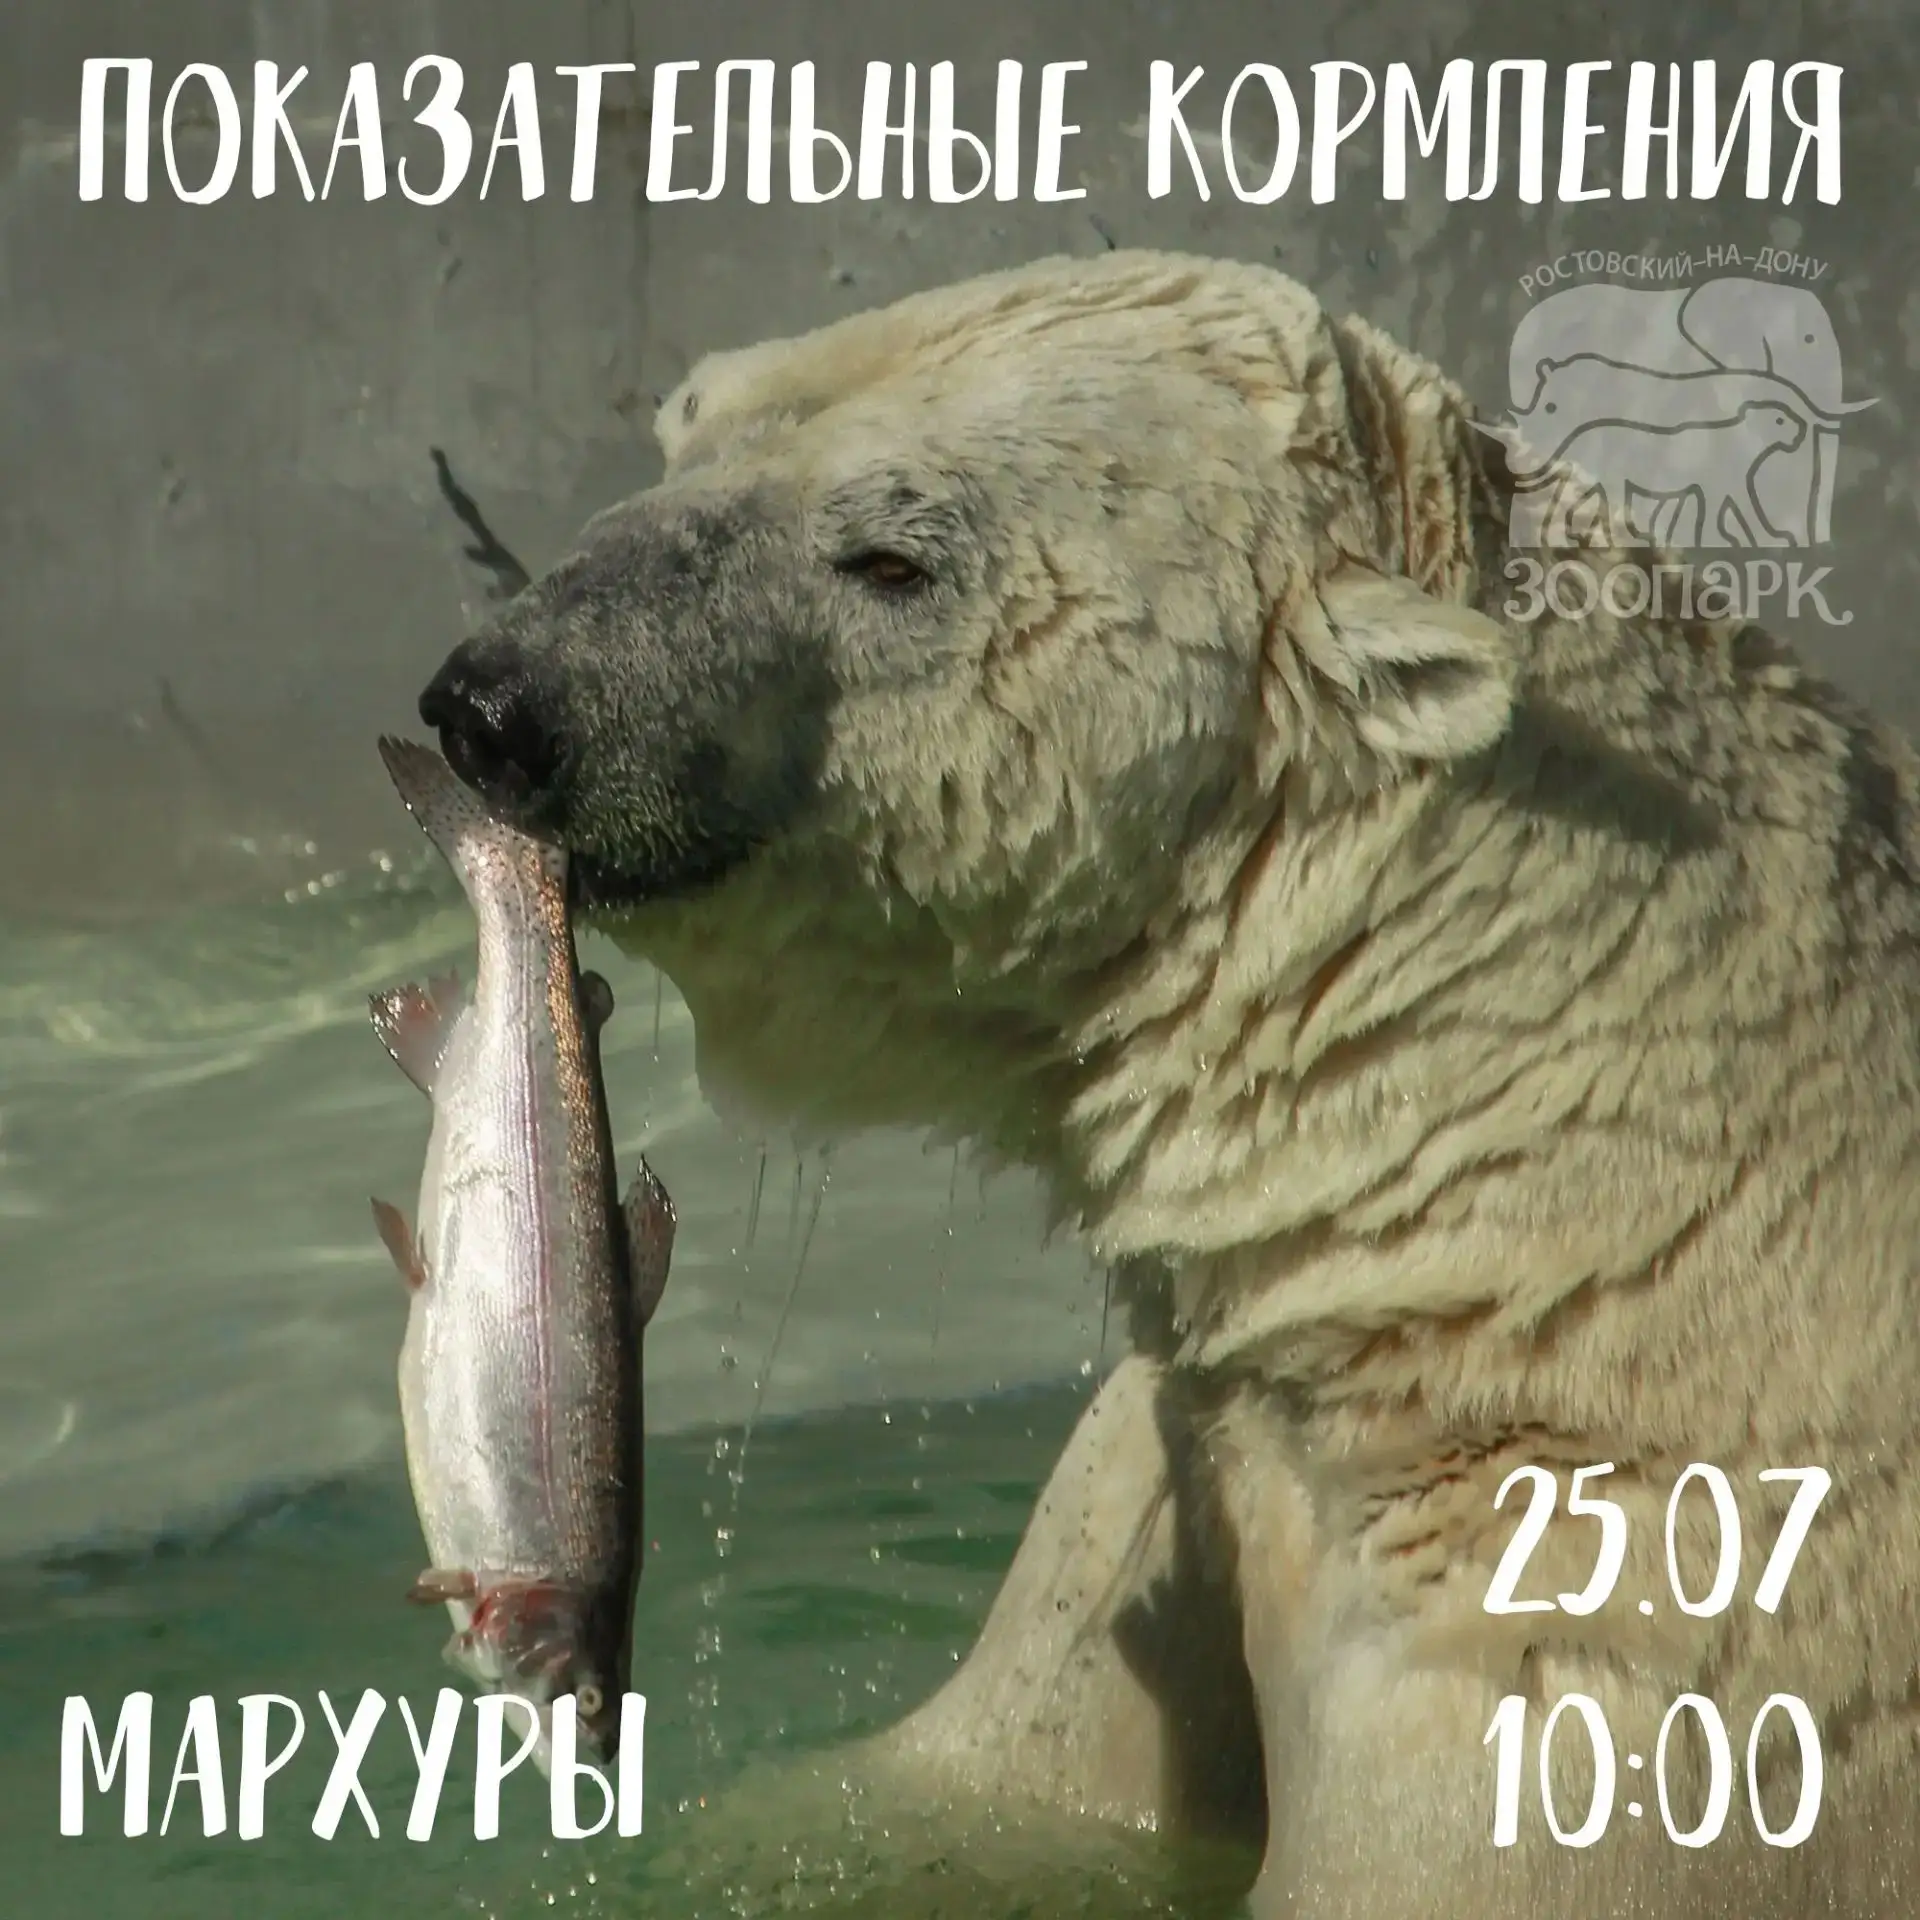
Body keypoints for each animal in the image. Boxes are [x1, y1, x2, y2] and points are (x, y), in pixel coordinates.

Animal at [416, 250, 1920, 1918]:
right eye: (689, 428)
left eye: (891, 557)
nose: (495, 708)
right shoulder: (1171, 1491)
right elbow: (959, 1798)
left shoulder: (1604, 1657)